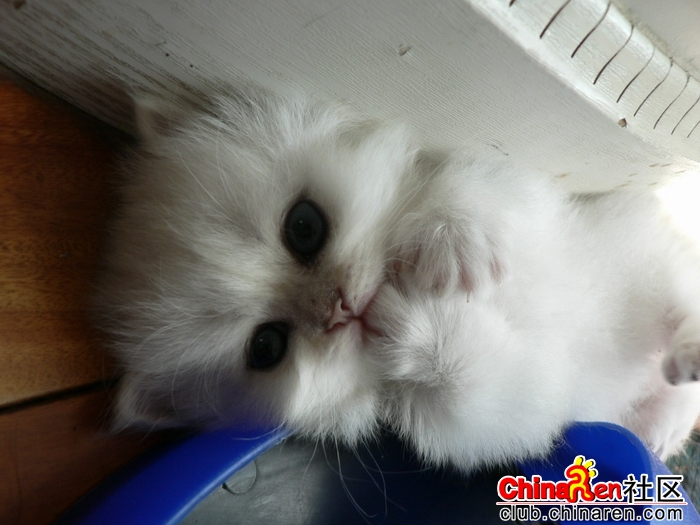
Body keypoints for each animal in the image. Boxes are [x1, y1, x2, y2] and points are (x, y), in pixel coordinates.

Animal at [96, 89, 700, 472]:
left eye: (303, 227)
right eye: (266, 347)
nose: (340, 309)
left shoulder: (530, 201)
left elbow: (460, 180)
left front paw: (452, 244)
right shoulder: (487, 419)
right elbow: (471, 386)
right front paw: (409, 329)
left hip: (646, 260)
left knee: (681, 308)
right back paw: (660, 426)